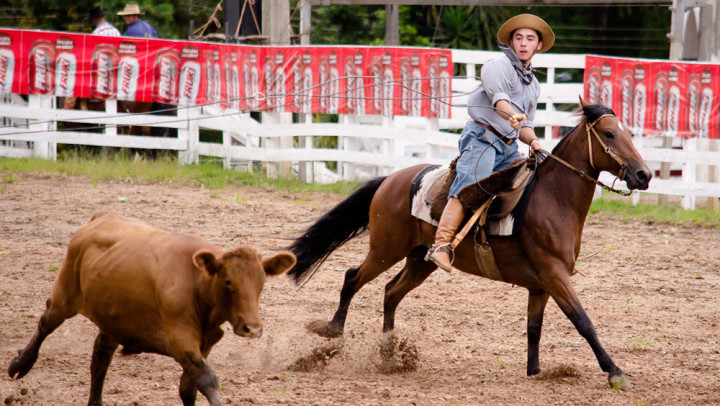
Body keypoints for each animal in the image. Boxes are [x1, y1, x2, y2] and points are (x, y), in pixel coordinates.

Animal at [8, 211, 296, 404]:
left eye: (261, 282)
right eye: (228, 281)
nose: (252, 328)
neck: (197, 280)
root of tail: (102, 216)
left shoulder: (203, 345)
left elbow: (188, 387)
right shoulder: (179, 339)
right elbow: (206, 379)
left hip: (113, 317)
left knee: (100, 359)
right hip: (65, 294)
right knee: (46, 322)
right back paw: (21, 363)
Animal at [286, 100, 652, 388]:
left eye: (629, 134)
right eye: (609, 134)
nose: (644, 175)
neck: (552, 198)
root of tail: (392, 178)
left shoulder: (541, 285)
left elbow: (534, 327)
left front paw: (534, 370)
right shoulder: (555, 276)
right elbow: (583, 321)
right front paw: (615, 372)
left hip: (420, 260)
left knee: (391, 293)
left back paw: (389, 354)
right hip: (384, 250)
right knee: (352, 278)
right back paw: (332, 330)